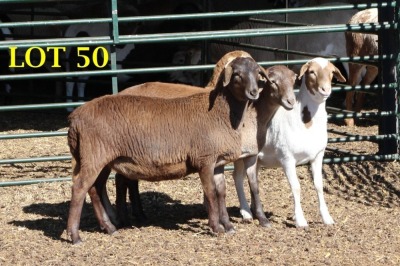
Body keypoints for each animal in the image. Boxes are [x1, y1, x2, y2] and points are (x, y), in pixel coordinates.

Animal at [65, 55, 266, 243]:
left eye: (257, 73)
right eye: (237, 75)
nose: (253, 93)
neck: (220, 112)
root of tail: (75, 118)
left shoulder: (217, 162)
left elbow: (221, 192)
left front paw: (228, 225)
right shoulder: (204, 159)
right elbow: (210, 193)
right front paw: (216, 227)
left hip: (99, 159)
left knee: (95, 188)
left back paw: (109, 227)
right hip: (94, 155)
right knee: (80, 188)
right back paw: (75, 235)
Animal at [233, 57, 346, 228]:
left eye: (332, 72)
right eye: (312, 72)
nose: (325, 89)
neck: (304, 121)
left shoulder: (318, 156)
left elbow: (319, 185)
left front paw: (327, 218)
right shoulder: (287, 158)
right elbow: (296, 187)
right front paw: (300, 220)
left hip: (256, 159)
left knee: (252, 178)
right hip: (242, 155)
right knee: (238, 177)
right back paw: (246, 212)